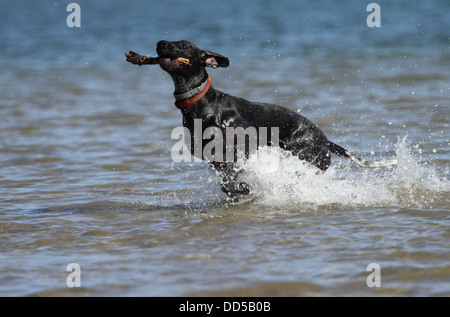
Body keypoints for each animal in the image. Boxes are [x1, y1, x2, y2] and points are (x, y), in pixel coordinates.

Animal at [125, 39, 396, 198]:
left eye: (183, 45)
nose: (160, 43)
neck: (203, 107)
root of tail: (326, 141)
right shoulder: (216, 161)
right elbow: (227, 184)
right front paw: (240, 190)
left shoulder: (244, 148)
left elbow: (235, 181)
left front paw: (245, 188)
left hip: (308, 160)